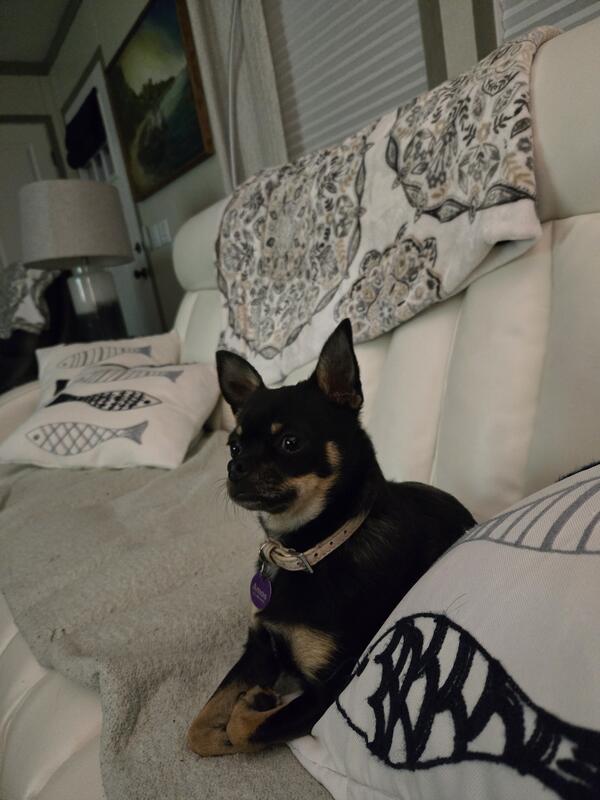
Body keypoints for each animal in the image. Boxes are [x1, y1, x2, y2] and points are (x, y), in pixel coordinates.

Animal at [188, 319, 475, 756]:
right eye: (233, 446)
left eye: (290, 443)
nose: (234, 467)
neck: (308, 549)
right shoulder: (258, 649)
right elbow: (198, 728)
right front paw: (231, 718)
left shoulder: (329, 689)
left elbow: (244, 728)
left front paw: (255, 703)